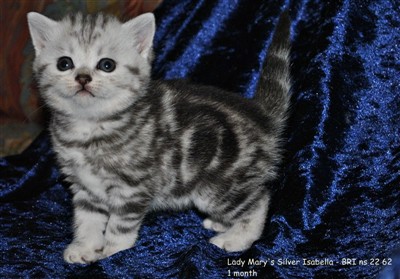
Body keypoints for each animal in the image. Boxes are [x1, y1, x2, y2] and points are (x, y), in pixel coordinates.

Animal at [27, 10, 290, 264]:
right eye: (64, 63)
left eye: (106, 65)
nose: (82, 78)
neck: (89, 128)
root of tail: (261, 115)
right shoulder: (85, 186)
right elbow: (88, 220)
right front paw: (85, 247)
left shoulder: (133, 187)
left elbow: (119, 226)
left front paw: (113, 253)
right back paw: (221, 224)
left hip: (220, 186)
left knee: (258, 202)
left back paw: (235, 239)